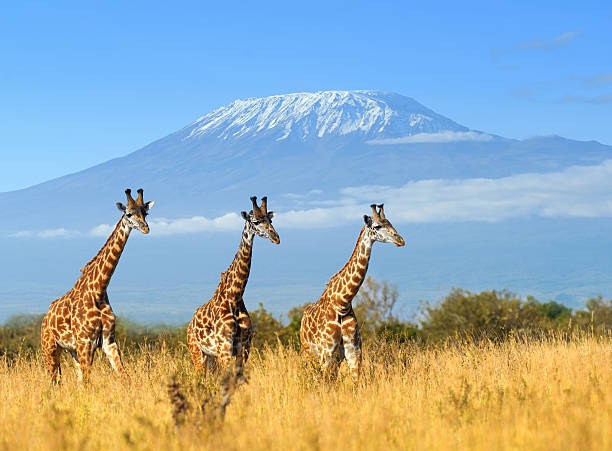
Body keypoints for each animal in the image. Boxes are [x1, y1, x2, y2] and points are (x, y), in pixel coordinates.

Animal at [40, 189, 154, 384]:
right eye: (128, 214)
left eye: (145, 213)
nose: (145, 228)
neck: (98, 290)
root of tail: (45, 319)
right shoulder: (85, 342)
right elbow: (88, 382)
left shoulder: (109, 341)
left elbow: (124, 377)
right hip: (50, 348)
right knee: (54, 381)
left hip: (72, 350)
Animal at [188, 196, 280, 376]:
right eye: (256, 221)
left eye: (270, 220)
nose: (276, 237)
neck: (235, 296)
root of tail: (189, 324)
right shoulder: (224, 348)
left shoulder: (244, 347)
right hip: (197, 352)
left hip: (211, 357)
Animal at [298, 204, 404, 382]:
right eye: (377, 226)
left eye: (390, 223)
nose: (400, 240)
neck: (343, 302)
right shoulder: (326, 352)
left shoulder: (353, 351)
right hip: (310, 352)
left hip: (336, 357)